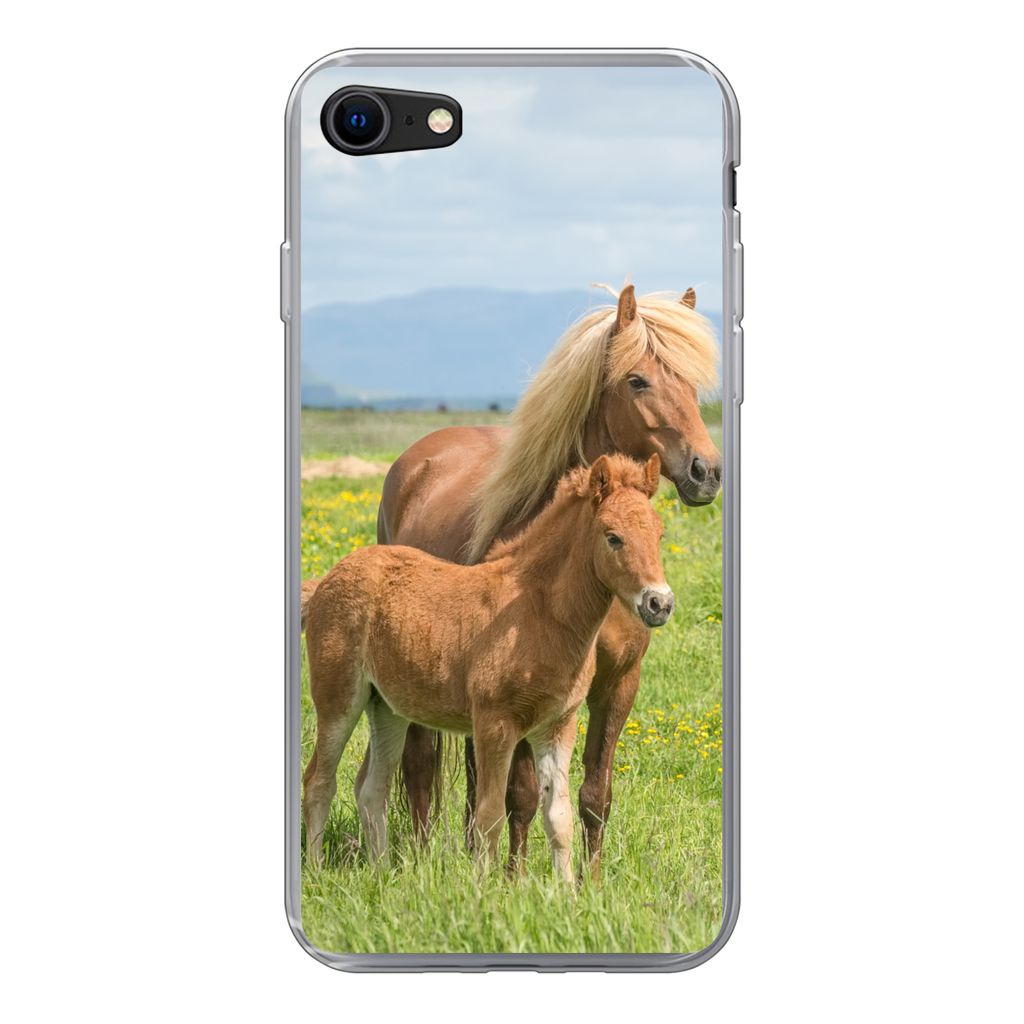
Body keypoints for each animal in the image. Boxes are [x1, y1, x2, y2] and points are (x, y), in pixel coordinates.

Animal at [302, 454, 672, 880]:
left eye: (660, 535)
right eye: (613, 537)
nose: (659, 603)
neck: (536, 611)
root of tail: (327, 579)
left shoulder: (557, 726)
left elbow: (558, 817)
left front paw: (566, 890)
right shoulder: (495, 723)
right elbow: (490, 815)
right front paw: (486, 888)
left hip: (387, 707)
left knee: (371, 788)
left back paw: (382, 875)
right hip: (339, 698)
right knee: (318, 781)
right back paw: (316, 871)